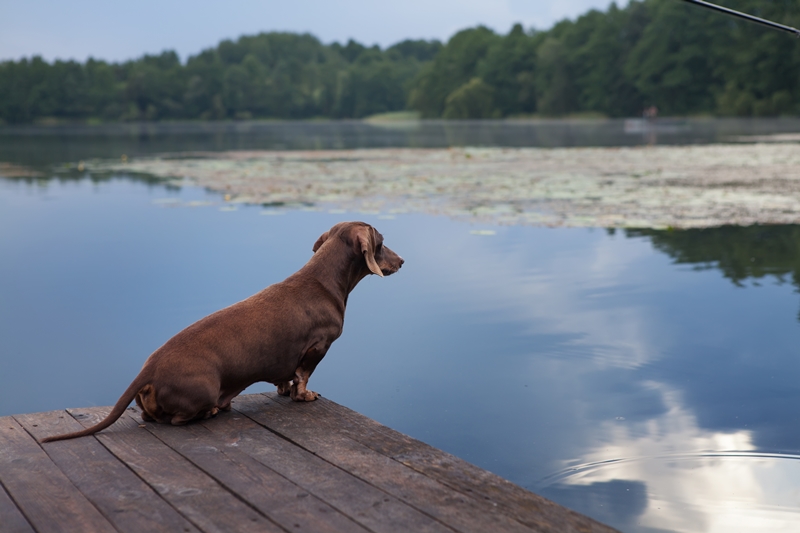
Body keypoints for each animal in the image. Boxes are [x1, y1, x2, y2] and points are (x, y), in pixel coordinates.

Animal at [41, 220, 404, 440]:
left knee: (149, 417)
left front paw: (285, 389)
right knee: (178, 418)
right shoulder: (318, 347)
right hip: (204, 389)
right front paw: (304, 395)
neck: (323, 280)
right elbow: (303, 377)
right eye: (382, 242)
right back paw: (213, 409)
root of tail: (148, 370)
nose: (402, 261)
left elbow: (285, 377)